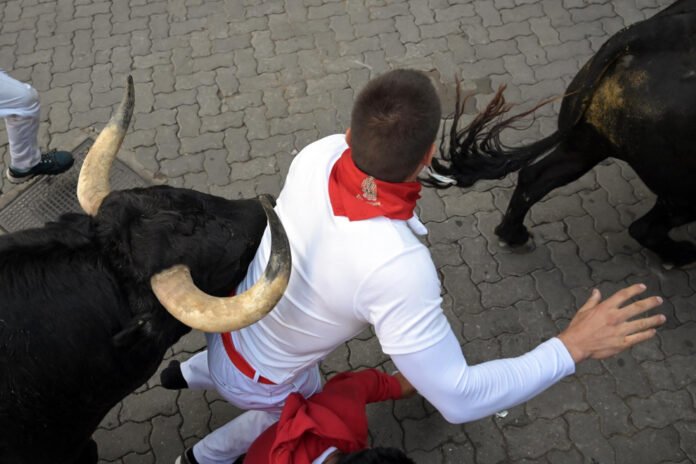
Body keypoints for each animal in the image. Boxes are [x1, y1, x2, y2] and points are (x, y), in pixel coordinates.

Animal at [430, 0, 696, 266]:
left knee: (534, 177)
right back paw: (682, 254)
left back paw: (512, 234)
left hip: (585, 143)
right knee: (645, 229)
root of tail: (647, 37)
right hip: (680, 190)